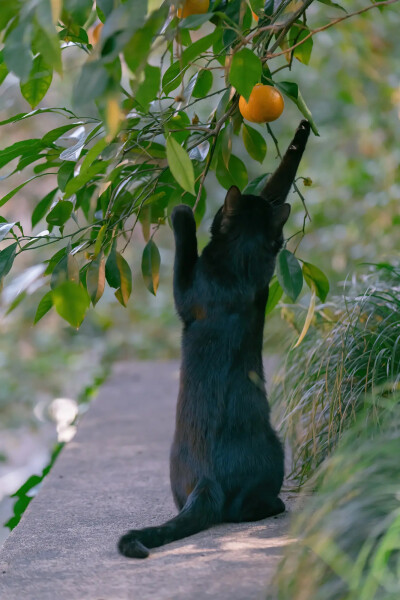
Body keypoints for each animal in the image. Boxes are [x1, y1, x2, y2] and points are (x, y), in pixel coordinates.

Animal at [117, 119, 310, 560]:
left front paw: (182, 212)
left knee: (240, 510)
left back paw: (275, 504)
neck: (240, 260)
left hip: (272, 451)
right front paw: (301, 134)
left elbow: (184, 256)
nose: (217, 207)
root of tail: (206, 480)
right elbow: (278, 181)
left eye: (221, 209)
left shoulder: (186, 295)